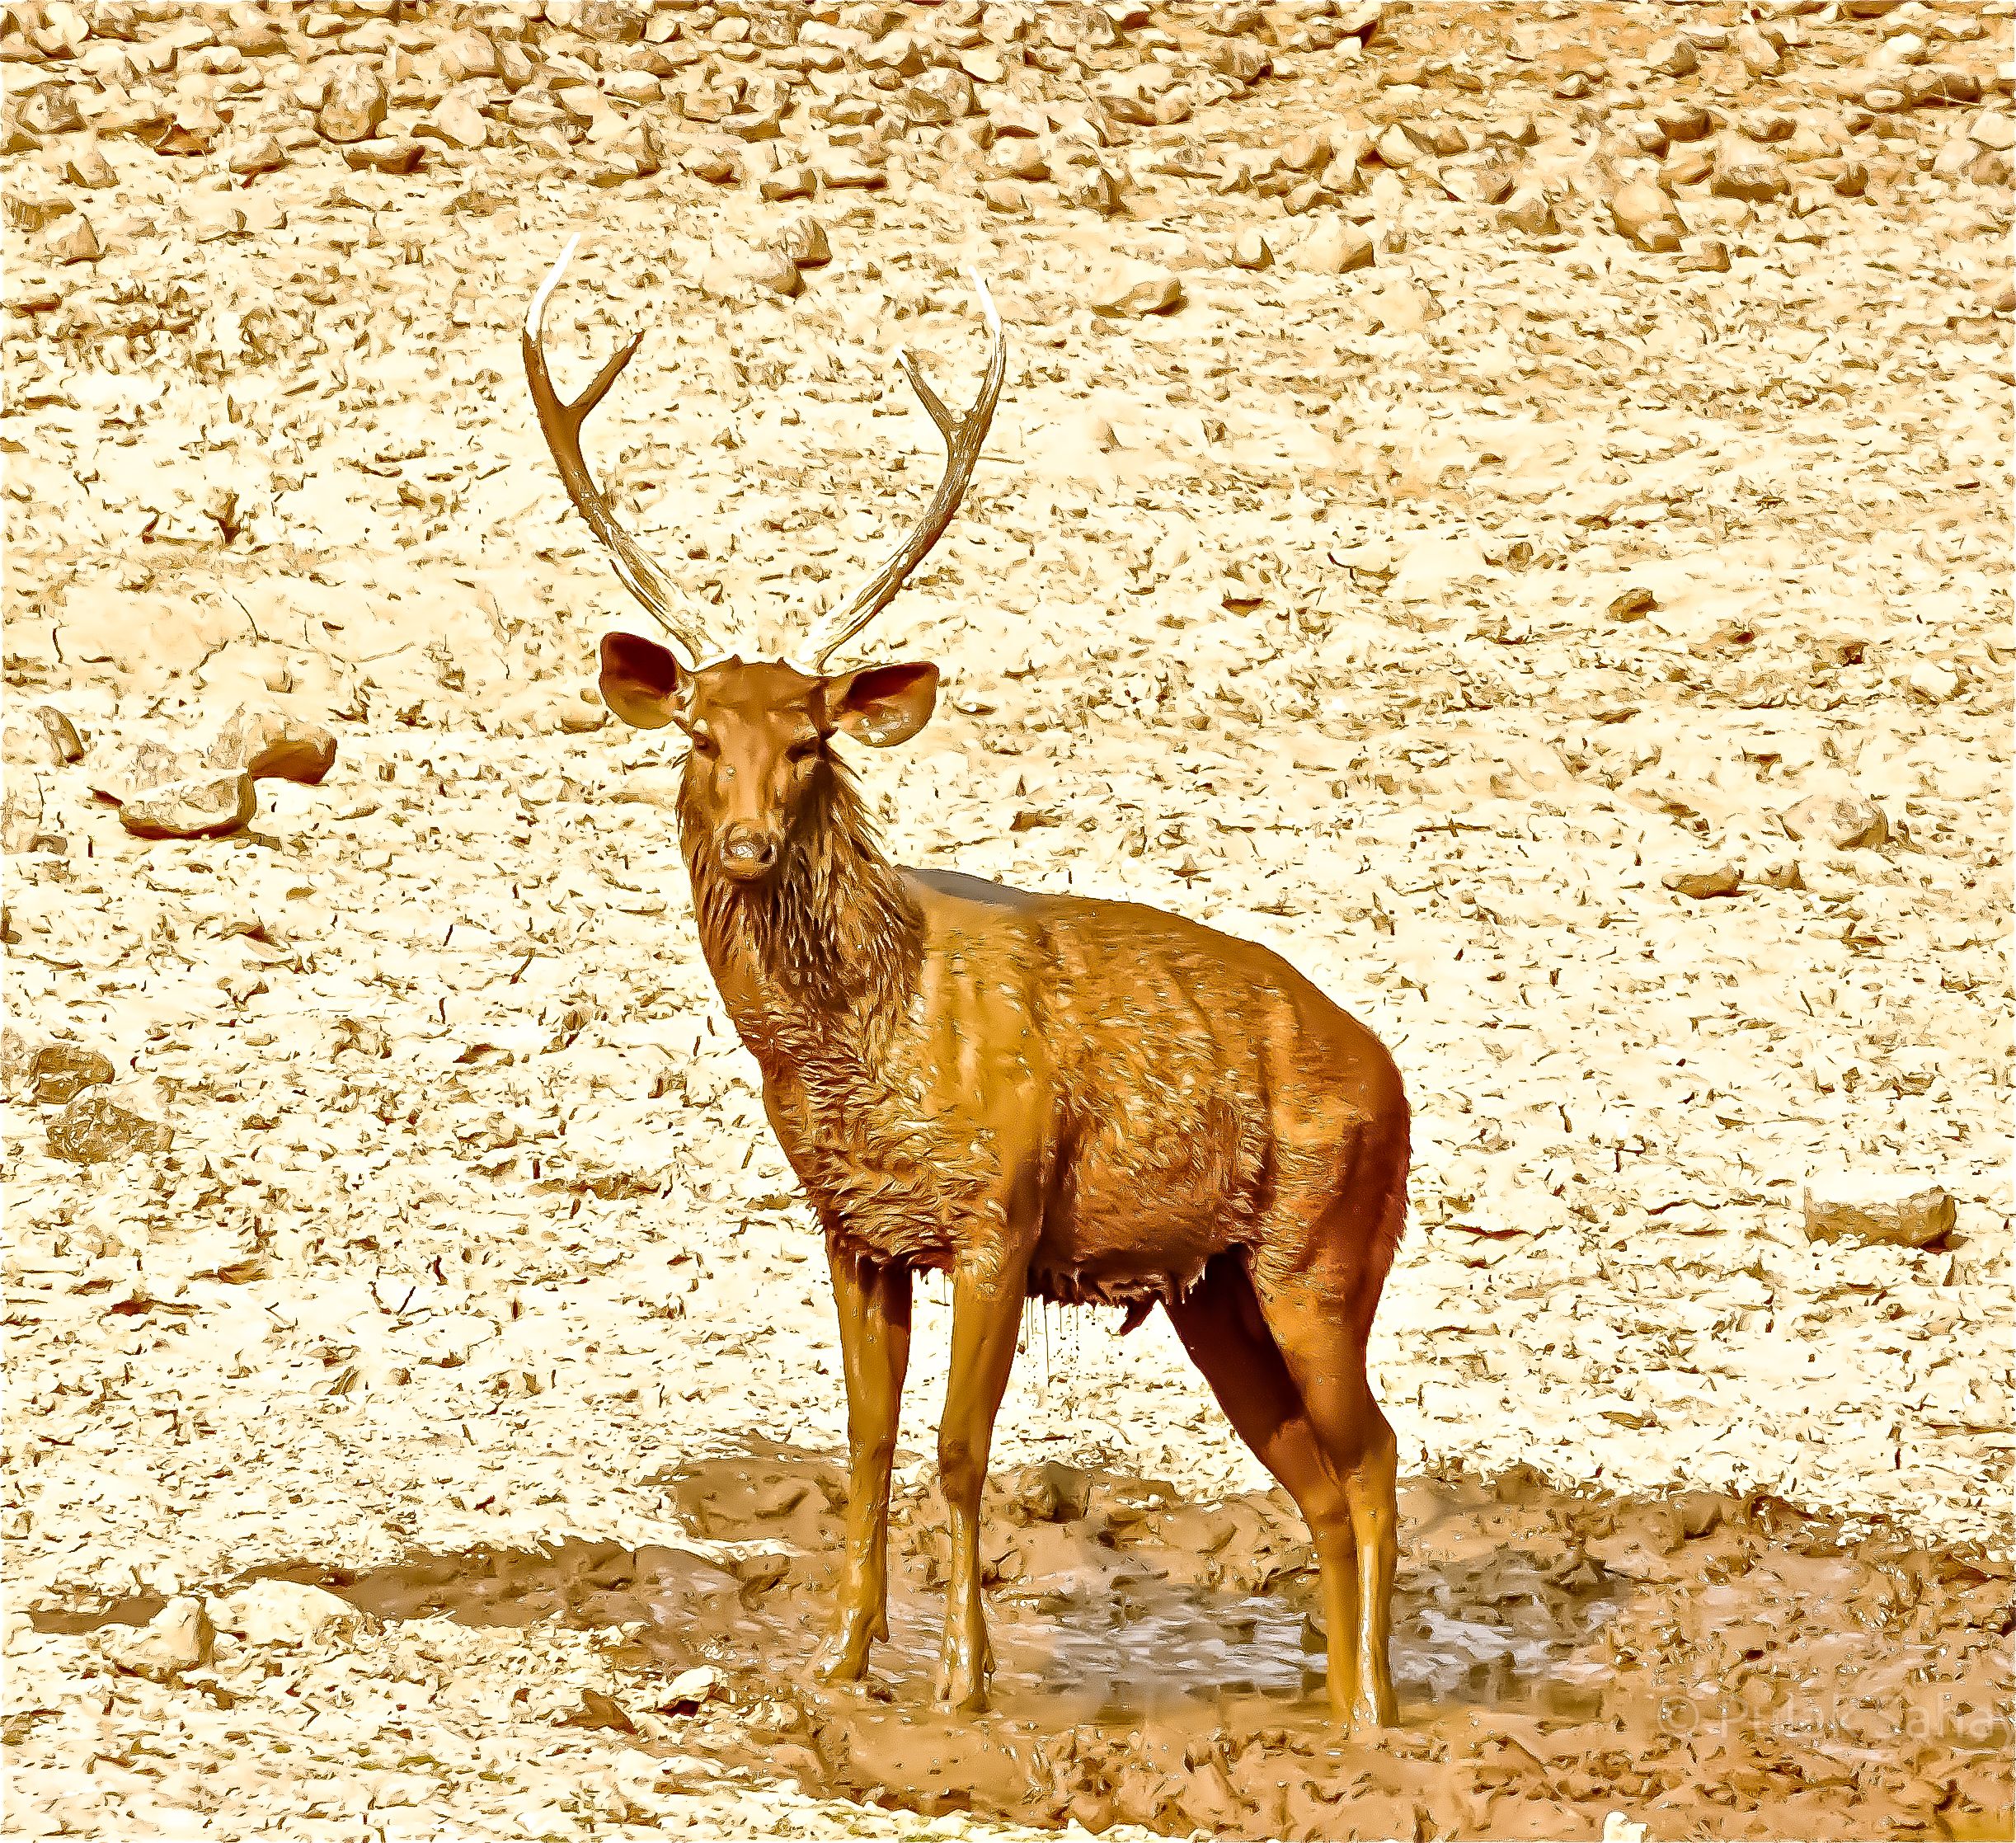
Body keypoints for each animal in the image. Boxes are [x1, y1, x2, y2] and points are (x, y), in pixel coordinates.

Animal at [522, 238, 1412, 1733]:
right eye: (702, 733)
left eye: (812, 740)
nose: (752, 843)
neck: (860, 1044)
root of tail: (1398, 1085)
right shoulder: (853, 1226)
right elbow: (868, 1438)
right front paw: (842, 1653)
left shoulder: (1004, 1207)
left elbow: (956, 1444)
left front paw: (961, 1676)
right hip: (1217, 1290)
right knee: (1317, 1474)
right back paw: (1336, 1704)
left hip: (1325, 1248)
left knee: (1378, 1456)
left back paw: (1378, 1718)